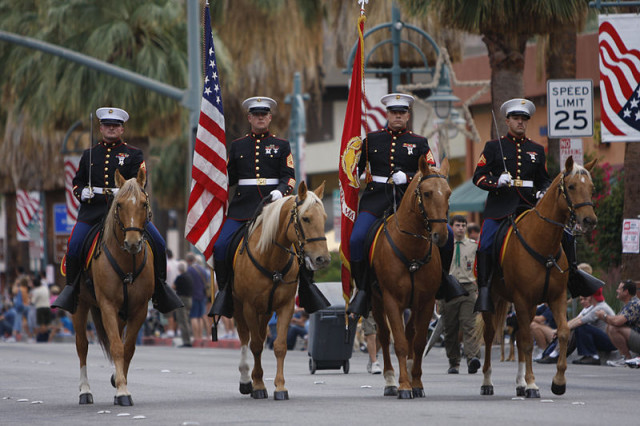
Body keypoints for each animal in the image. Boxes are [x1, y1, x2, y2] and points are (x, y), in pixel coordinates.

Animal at [71, 167, 155, 406]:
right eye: (119, 205)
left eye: (144, 204)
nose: (133, 243)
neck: (128, 262)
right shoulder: (107, 305)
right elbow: (117, 347)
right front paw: (122, 391)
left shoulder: (139, 309)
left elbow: (128, 348)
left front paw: (119, 382)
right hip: (80, 305)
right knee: (82, 345)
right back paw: (85, 390)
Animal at [232, 182, 330, 400]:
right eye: (306, 218)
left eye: (325, 217)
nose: (323, 259)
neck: (270, 258)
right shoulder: (249, 307)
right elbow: (255, 345)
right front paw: (259, 385)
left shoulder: (286, 306)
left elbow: (279, 346)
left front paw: (280, 386)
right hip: (239, 308)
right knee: (244, 338)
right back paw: (246, 380)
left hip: (266, 312)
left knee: (260, 335)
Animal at [368, 157, 452, 400]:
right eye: (427, 193)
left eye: (448, 193)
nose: (440, 235)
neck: (411, 249)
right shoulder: (391, 300)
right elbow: (400, 344)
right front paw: (404, 386)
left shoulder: (425, 302)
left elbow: (419, 342)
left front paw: (417, 384)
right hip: (376, 301)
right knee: (384, 336)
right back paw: (389, 380)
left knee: (409, 334)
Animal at [478, 157, 596, 400]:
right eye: (571, 186)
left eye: (592, 188)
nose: (589, 220)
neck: (543, 242)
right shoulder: (522, 299)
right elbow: (527, 343)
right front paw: (533, 384)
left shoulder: (556, 298)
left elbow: (562, 333)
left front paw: (558, 382)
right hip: (494, 300)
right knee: (490, 335)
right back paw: (487, 381)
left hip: (529, 306)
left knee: (520, 337)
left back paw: (520, 383)